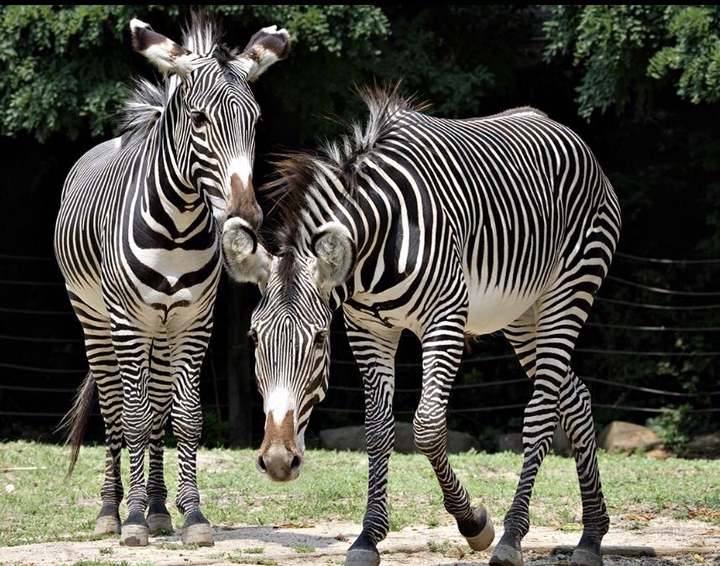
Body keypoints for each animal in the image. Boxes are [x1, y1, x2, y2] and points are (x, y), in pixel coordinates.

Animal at [54, 14, 290, 547]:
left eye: (255, 122)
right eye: (199, 119)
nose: (246, 216)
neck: (178, 227)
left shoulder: (194, 323)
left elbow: (184, 416)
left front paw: (191, 515)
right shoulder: (127, 323)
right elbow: (135, 418)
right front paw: (133, 521)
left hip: (162, 331)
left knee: (160, 403)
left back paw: (161, 508)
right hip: (95, 321)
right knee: (115, 408)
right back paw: (112, 511)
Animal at [222, 85, 621, 566]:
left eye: (319, 340)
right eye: (253, 338)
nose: (280, 463)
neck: (374, 246)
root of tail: (560, 128)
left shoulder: (445, 319)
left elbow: (427, 427)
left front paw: (474, 523)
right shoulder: (367, 329)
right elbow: (378, 430)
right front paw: (367, 538)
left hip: (569, 291)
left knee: (542, 413)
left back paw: (512, 537)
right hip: (522, 314)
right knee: (575, 399)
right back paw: (591, 538)